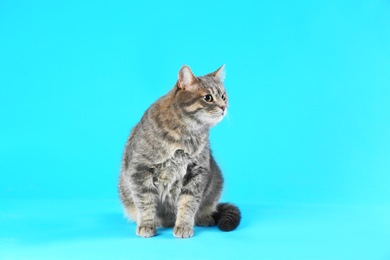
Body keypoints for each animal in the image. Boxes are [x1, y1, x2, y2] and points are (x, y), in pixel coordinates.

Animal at [118, 65, 241, 238]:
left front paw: (183, 226)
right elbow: (145, 201)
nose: (223, 107)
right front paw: (147, 225)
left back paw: (205, 218)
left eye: (223, 96)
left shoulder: (198, 171)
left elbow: (188, 203)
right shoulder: (140, 169)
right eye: (208, 98)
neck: (186, 135)